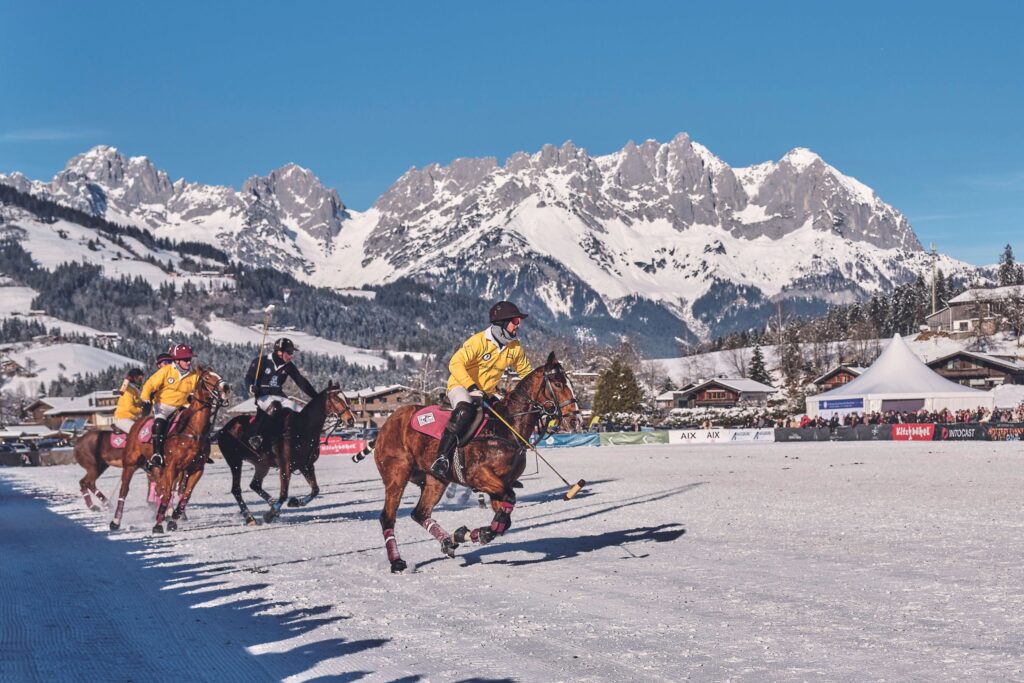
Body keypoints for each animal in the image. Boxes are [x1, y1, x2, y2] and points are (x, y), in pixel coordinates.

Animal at [109, 368, 227, 532]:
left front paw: (174, 517)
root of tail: (137, 423)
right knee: (124, 490)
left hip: (157, 468)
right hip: (130, 464)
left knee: (160, 488)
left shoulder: (196, 468)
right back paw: (115, 521)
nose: (226, 387)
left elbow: (185, 494)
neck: (194, 430)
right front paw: (158, 525)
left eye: (219, 375)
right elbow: (167, 493)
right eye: (207, 378)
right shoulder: (172, 466)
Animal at [216, 382, 356, 528]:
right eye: (335, 399)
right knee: (236, 490)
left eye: (345, 398)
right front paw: (269, 515)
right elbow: (283, 494)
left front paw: (294, 502)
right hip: (235, 461)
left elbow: (315, 490)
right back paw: (250, 517)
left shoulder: (306, 465)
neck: (302, 429)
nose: (350, 420)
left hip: (261, 464)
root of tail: (223, 429)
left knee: (255, 484)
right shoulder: (285, 466)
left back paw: (271, 503)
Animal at [372, 352, 581, 573]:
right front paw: (479, 533)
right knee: (388, 516)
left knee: (420, 513)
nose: (575, 420)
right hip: (397, 474)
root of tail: (389, 421)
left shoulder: (500, 484)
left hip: (435, 480)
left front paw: (468, 533)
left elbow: (504, 518)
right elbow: (509, 500)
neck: (507, 428)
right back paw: (397, 562)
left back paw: (448, 541)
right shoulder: (479, 476)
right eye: (558, 384)